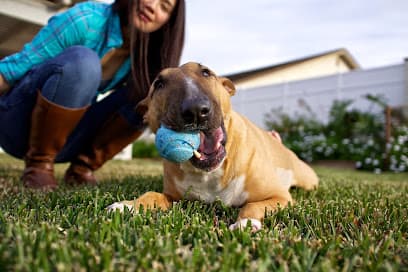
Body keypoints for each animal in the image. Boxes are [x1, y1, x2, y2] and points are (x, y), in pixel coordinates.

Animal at [108, 62, 318, 232]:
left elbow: (253, 205)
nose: (195, 110)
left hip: (308, 180)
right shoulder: (173, 196)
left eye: (206, 72)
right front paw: (127, 206)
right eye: (159, 84)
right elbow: (151, 195)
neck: (208, 173)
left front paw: (245, 223)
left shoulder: (280, 197)